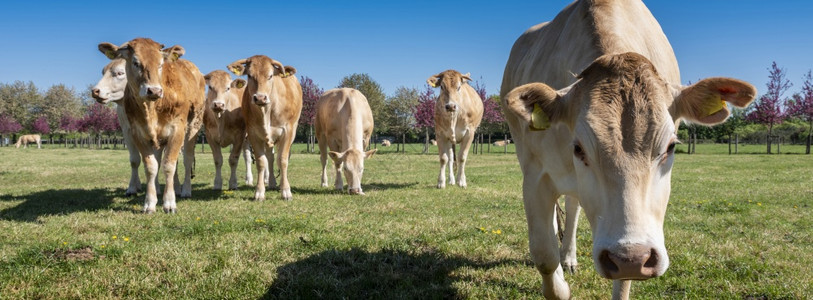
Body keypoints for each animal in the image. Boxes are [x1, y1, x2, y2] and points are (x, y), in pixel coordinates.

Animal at [101, 38, 206, 213]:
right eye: (136, 62)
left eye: (160, 63)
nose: (154, 90)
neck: (152, 109)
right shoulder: (137, 132)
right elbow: (151, 166)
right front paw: (150, 202)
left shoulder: (177, 130)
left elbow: (169, 165)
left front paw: (169, 202)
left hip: (193, 127)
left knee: (187, 159)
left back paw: (185, 190)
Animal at [227, 56, 302, 202]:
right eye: (250, 75)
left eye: (270, 75)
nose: (260, 98)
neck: (266, 112)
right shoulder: (253, 134)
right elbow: (262, 162)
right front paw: (259, 192)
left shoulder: (288, 131)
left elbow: (283, 160)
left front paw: (286, 191)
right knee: (270, 158)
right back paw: (272, 182)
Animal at [498, 1, 760, 298]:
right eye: (578, 148)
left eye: (670, 146)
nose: (630, 256)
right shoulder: (535, 176)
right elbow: (544, 254)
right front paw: (560, 284)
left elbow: (623, 281)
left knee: (573, 206)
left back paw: (570, 257)